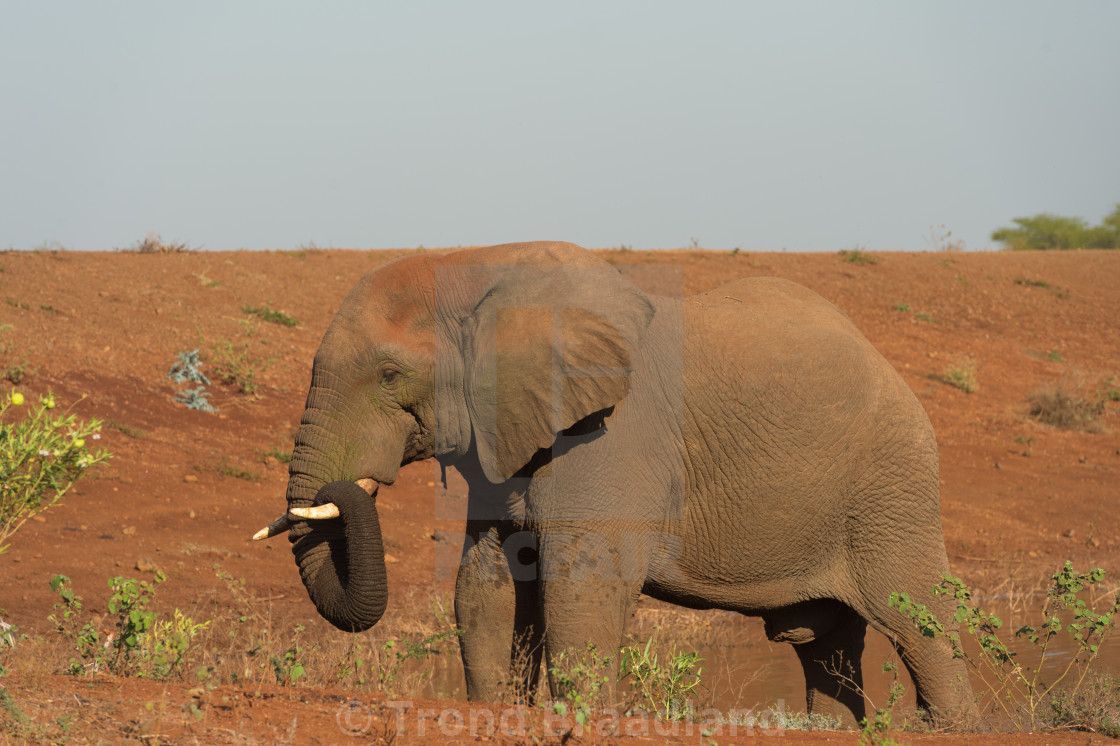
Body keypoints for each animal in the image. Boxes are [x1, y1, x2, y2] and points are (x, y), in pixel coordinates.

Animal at [254, 243, 972, 725]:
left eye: (389, 375)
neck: (482, 265)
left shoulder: (608, 434)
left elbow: (585, 581)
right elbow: (487, 582)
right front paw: (494, 712)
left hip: (892, 482)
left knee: (917, 617)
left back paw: (943, 726)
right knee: (827, 642)